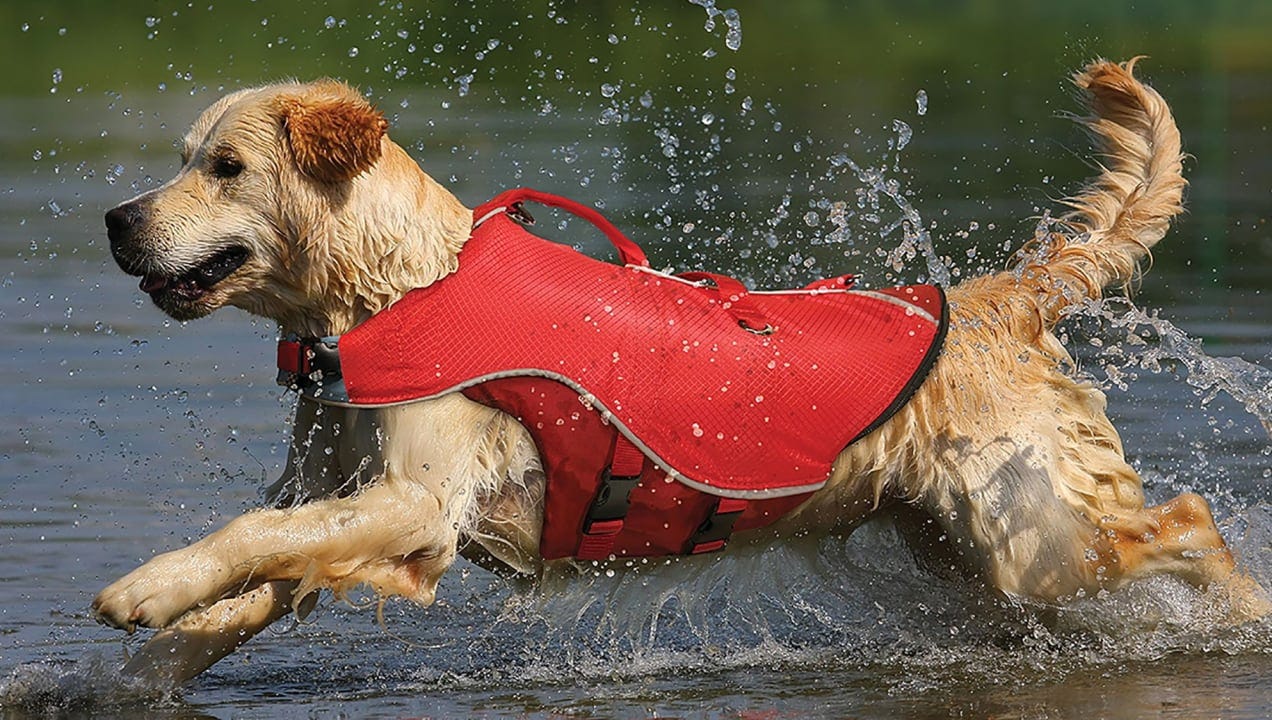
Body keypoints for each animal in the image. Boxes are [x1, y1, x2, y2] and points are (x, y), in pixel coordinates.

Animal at [94, 59, 1266, 686]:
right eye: (183, 157)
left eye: (226, 166)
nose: (116, 221)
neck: (391, 292)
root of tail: (989, 301)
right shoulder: (342, 491)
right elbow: (257, 579)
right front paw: (136, 670)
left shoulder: (419, 502)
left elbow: (251, 537)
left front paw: (141, 587)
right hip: (964, 548)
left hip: (1038, 538)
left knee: (1191, 519)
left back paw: (1246, 611)